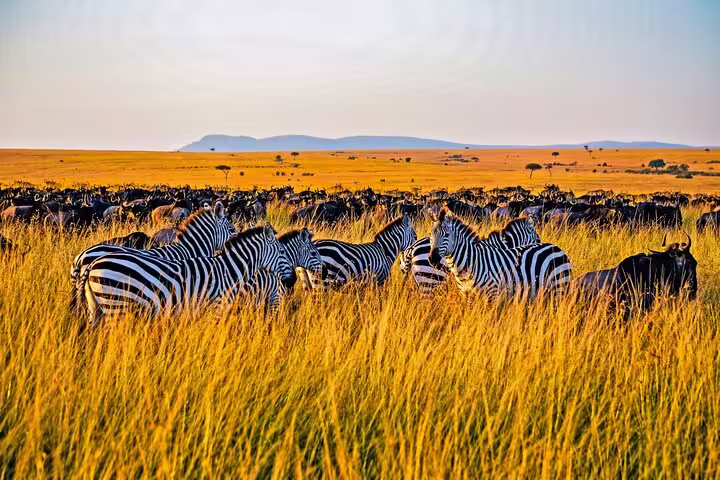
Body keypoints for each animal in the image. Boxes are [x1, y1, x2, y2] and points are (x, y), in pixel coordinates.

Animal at [80, 225, 292, 323]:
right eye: (282, 252)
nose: (291, 281)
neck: (229, 271)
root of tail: (92, 264)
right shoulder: (215, 307)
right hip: (115, 304)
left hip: (96, 307)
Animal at [428, 210, 571, 299]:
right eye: (431, 235)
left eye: (447, 235)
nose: (432, 259)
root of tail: (558, 248)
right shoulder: (466, 295)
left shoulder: (493, 294)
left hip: (559, 287)